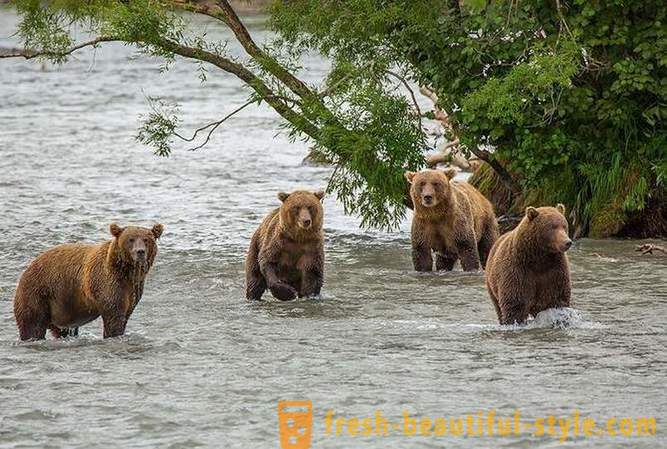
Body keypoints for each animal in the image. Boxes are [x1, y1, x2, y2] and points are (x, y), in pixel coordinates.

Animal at [14, 224, 163, 340]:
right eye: (131, 239)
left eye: (146, 239)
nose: (140, 252)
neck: (126, 272)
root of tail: (28, 268)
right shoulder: (108, 282)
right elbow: (114, 314)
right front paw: (114, 334)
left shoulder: (133, 289)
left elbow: (126, 312)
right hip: (38, 291)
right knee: (32, 324)